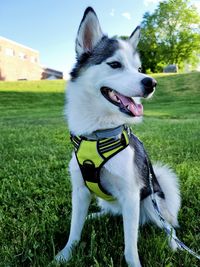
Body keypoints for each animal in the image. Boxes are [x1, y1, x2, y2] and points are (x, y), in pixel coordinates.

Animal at [55, 6, 181, 267]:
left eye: (139, 69)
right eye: (115, 64)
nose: (152, 82)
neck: (98, 133)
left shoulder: (131, 195)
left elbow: (130, 245)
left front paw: (134, 264)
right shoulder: (79, 191)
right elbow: (74, 230)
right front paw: (64, 254)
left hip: (151, 201)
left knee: (170, 226)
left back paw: (173, 245)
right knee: (108, 212)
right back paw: (94, 216)